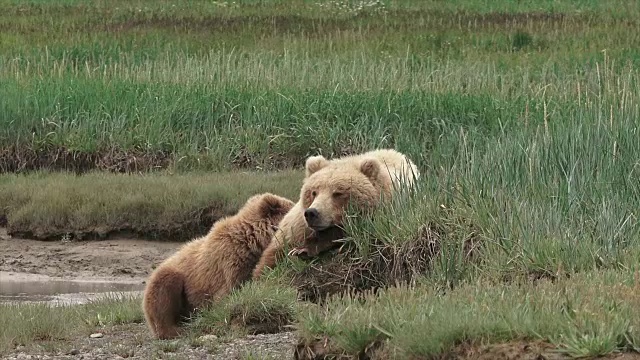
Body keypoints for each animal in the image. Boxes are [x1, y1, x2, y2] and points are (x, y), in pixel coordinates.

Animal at [141, 193, 294, 338]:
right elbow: (225, 296)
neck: (252, 242)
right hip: (172, 277)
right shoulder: (229, 265)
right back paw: (176, 330)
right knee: (164, 292)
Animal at [252, 149, 422, 278]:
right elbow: (271, 258)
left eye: (338, 193)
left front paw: (304, 250)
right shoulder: (296, 229)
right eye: (314, 192)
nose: (312, 213)